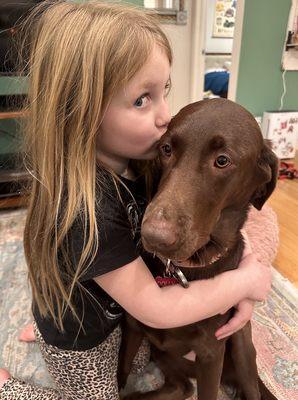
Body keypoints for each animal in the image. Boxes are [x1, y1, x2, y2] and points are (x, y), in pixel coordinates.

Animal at [117, 99, 278, 400]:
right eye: (166, 149)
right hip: (164, 356)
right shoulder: (132, 326)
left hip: (241, 343)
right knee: (181, 387)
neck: (185, 268)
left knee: (251, 389)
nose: (154, 236)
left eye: (222, 160)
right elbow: (121, 376)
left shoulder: (211, 353)